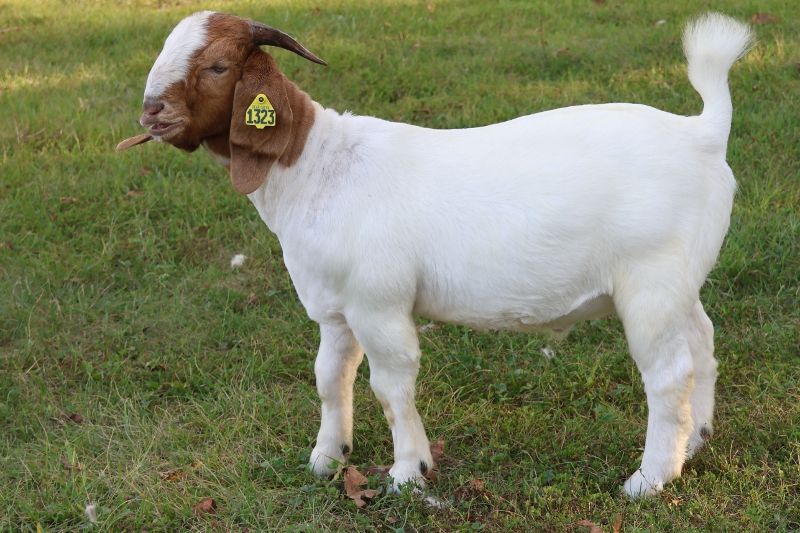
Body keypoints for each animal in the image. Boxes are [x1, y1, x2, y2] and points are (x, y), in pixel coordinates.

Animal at [115, 10, 752, 496]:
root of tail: (702, 133)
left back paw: (650, 478)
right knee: (702, 340)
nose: (151, 112)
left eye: (218, 66)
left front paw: (407, 472)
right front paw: (327, 458)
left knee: (667, 373)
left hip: (650, 281)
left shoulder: (378, 304)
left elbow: (391, 385)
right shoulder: (335, 310)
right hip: (679, 281)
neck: (318, 168)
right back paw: (696, 441)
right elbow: (330, 377)